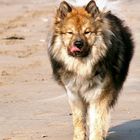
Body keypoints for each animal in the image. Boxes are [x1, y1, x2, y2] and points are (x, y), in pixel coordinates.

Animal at [48, 0, 134, 139]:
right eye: (70, 33)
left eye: (87, 32)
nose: (78, 44)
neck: (82, 67)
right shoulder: (74, 95)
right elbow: (79, 120)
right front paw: (79, 136)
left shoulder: (99, 95)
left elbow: (97, 120)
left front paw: (97, 135)